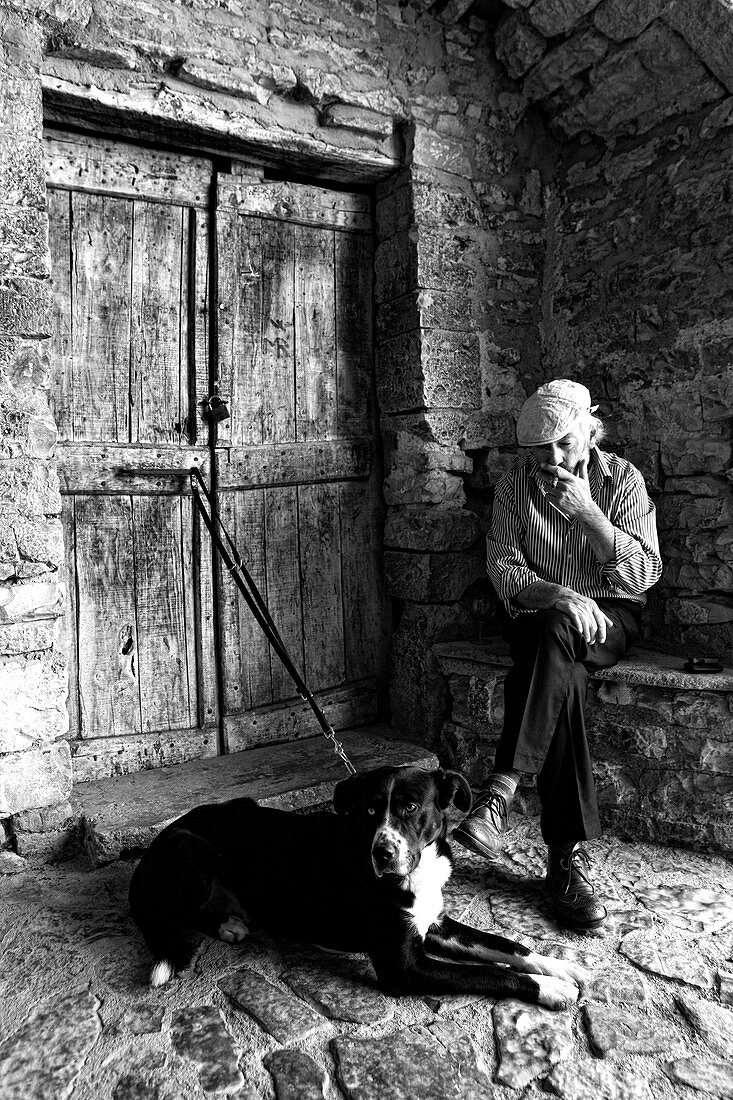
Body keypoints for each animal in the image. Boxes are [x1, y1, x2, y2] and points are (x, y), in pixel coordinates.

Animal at [128, 765, 585, 1007]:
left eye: (410, 807)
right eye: (369, 810)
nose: (381, 854)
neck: (414, 874)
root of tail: (150, 851)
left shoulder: (435, 924)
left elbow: (506, 946)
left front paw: (559, 967)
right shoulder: (403, 967)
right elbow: (489, 973)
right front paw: (551, 988)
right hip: (192, 852)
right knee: (174, 913)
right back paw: (227, 924)